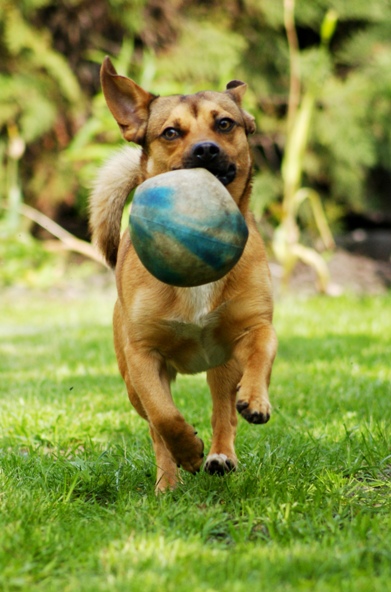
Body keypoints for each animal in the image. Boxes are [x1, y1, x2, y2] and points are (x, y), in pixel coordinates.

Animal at [90, 56, 278, 490]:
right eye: (171, 132)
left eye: (224, 124)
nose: (206, 149)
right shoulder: (144, 357)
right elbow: (164, 417)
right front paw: (187, 450)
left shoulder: (255, 326)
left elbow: (261, 352)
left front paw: (256, 399)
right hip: (132, 384)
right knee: (155, 429)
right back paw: (168, 483)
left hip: (223, 367)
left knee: (222, 412)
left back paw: (221, 456)